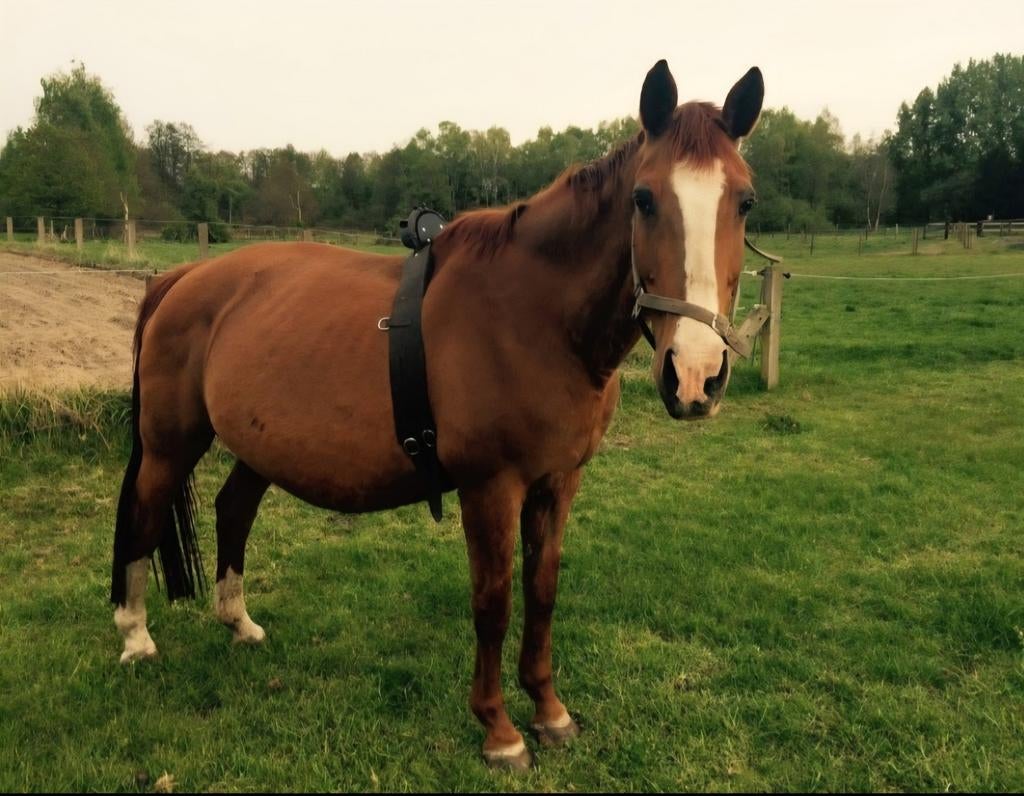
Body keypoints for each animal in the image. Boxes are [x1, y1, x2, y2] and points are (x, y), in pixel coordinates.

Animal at [110, 59, 763, 771]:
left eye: (745, 202)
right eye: (643, 199)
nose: (695, 374)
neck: (534, 316)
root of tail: (182, 278)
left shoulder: (558, 482)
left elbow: (542, 591)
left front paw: (550, 711)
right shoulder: (490, 488)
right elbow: (493, 601)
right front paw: (500, 731)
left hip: (258, 447)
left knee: (233, 510)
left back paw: (238, 621)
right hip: (170, 444)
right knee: (144, 513)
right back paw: (135, 637)